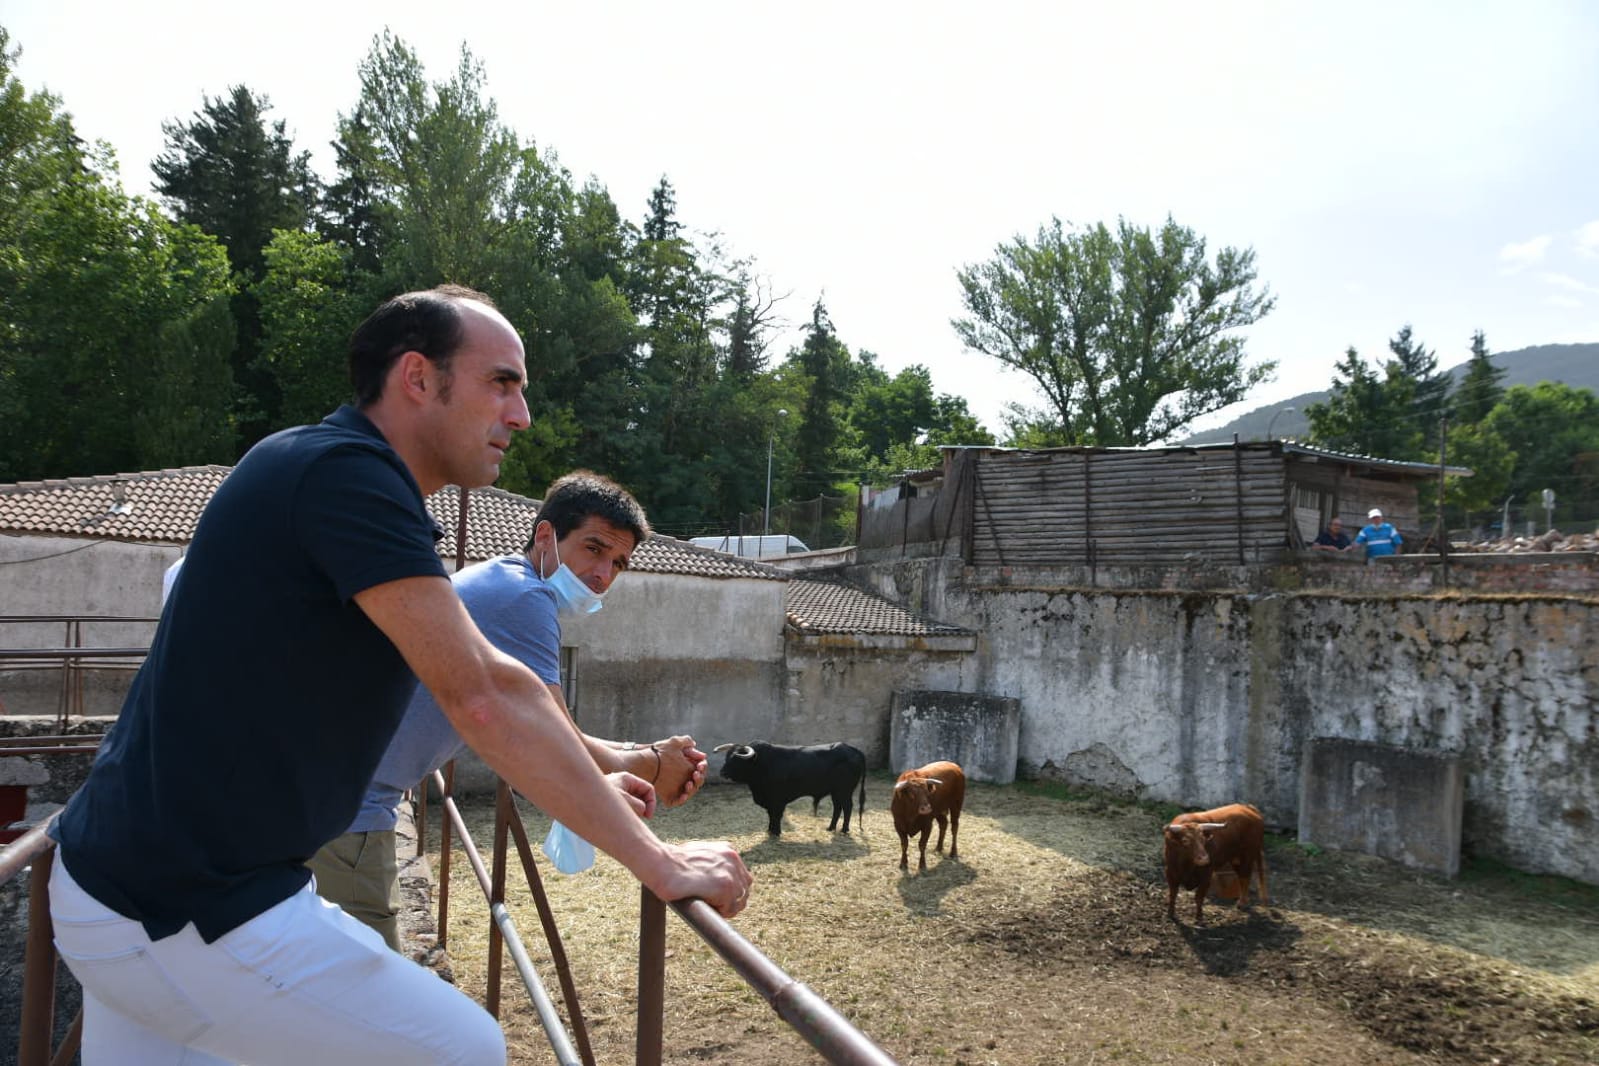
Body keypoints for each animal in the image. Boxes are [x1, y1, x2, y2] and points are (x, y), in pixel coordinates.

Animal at [713, 738, 863, 837]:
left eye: (736, 759)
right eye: (727, 757)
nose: (722, 772)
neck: (762, 763)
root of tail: (853, 749)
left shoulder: (778, 800)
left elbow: (776, 816)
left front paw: (776, 832)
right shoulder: (769, 801)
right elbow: (770, 815)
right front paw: (770, 830)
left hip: (844, 791)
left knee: (847, 807)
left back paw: (844, 829)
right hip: (835, 792)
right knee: (838, 807)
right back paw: (831, 828)